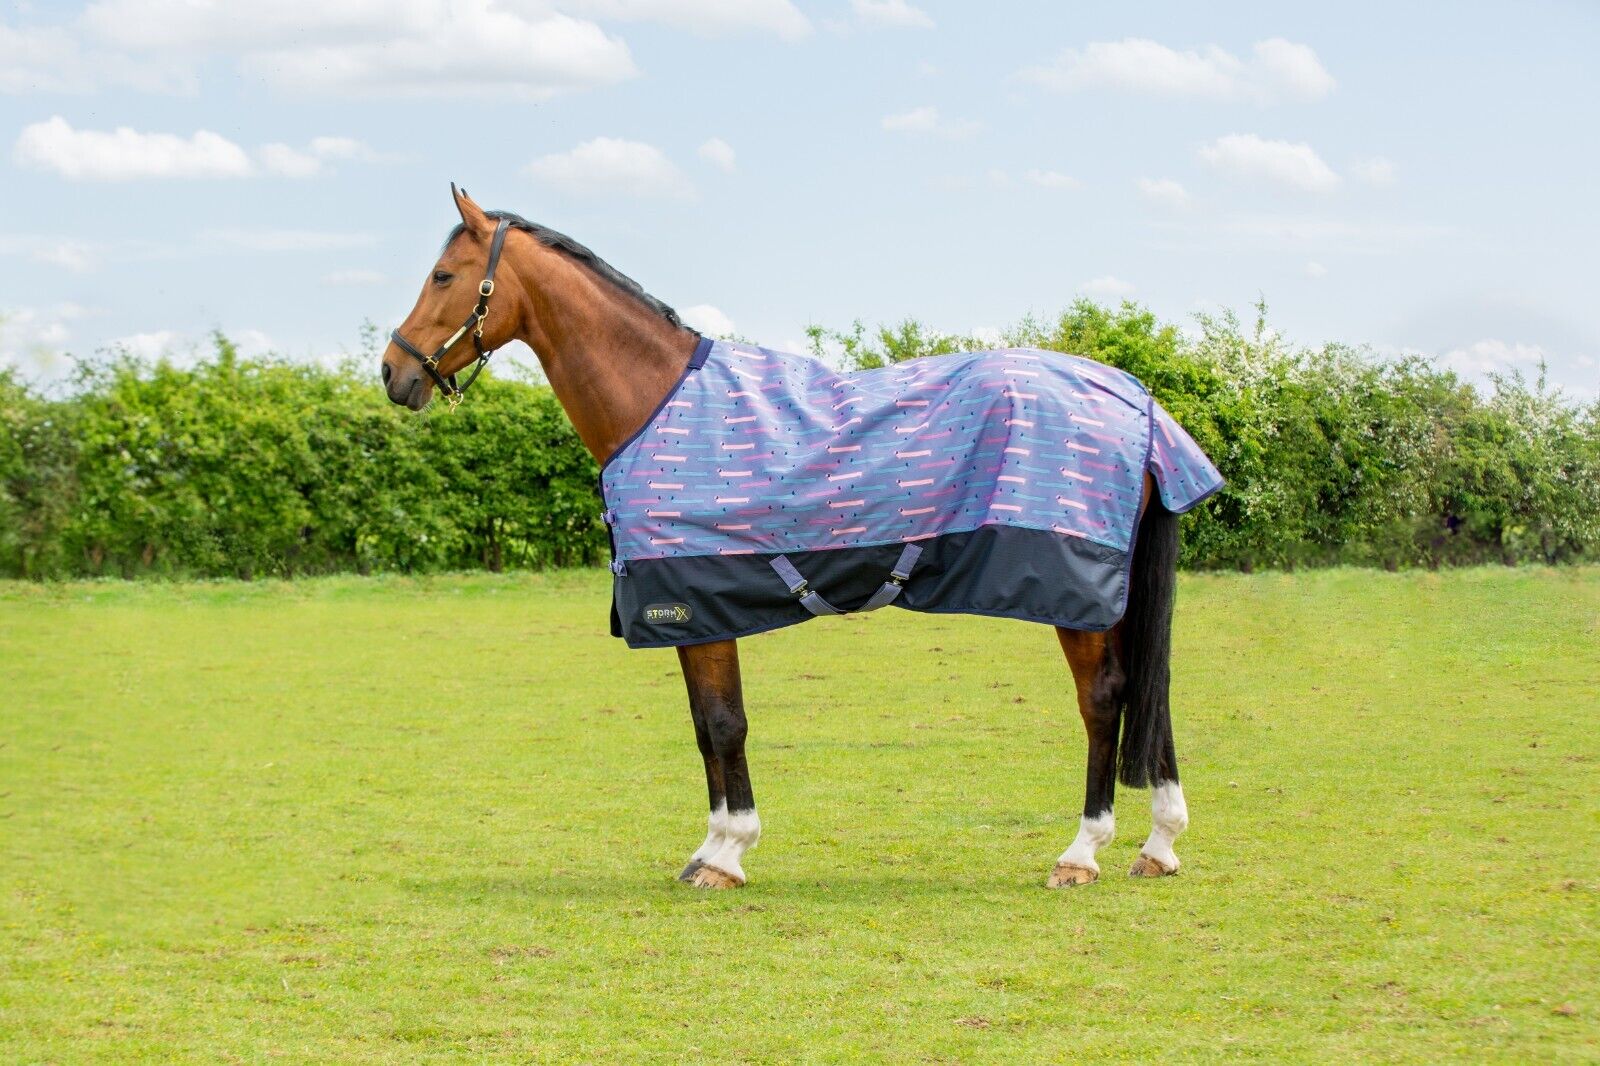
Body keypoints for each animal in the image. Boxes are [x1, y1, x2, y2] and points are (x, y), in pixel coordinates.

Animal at [380, 186, 1210, 890]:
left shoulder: (694, 604)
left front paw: (727, 855)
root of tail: (1135, 400)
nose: (394, 373)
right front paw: (709, 848)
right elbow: (705, 728)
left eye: (445, 275)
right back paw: (1159, 845)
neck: (656, 401)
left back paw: (1083, 852)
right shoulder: (689, 611)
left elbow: (724, 725)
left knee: (1105, 699)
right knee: (1151, 691)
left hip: (1077, 596)